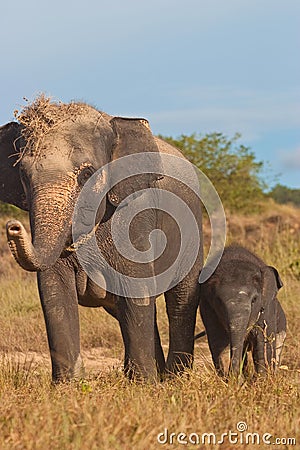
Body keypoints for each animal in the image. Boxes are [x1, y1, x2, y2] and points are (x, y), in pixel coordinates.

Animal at [0, 96, 203, 382]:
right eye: (24, 176)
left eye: (87, 174)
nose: (13, 227)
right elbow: (54, 293)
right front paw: (68, 386)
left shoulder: (135, 214)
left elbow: (136, 290)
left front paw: (144, 385)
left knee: (181, 298)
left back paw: (175, 377)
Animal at [199, 244, 286, 378]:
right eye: (218, 301)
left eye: (254, 300)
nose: (234, 376)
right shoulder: (207, 306)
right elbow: (219, 342)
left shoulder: (267, 307)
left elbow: (263, 340)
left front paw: (261, 380)